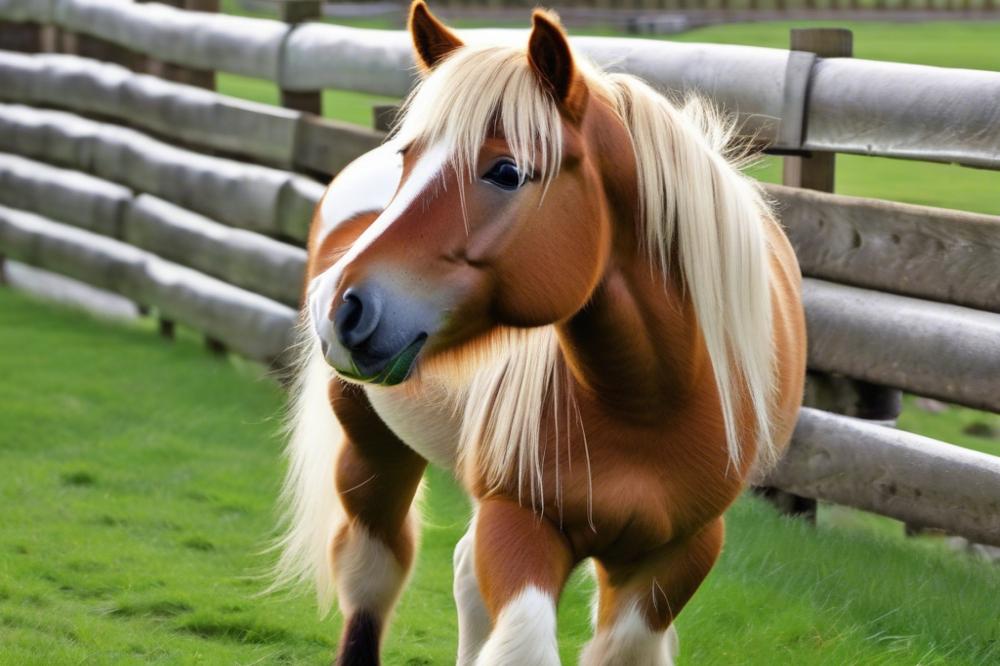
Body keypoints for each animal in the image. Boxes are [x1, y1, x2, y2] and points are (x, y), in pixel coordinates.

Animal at [272, 2, 804, 660]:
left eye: (506, 171)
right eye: (409, 159)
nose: (340, 304)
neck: (648, 402)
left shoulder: (677, 555)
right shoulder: (520, 520)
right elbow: (522, 640)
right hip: (370, 444)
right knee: (374, 573)